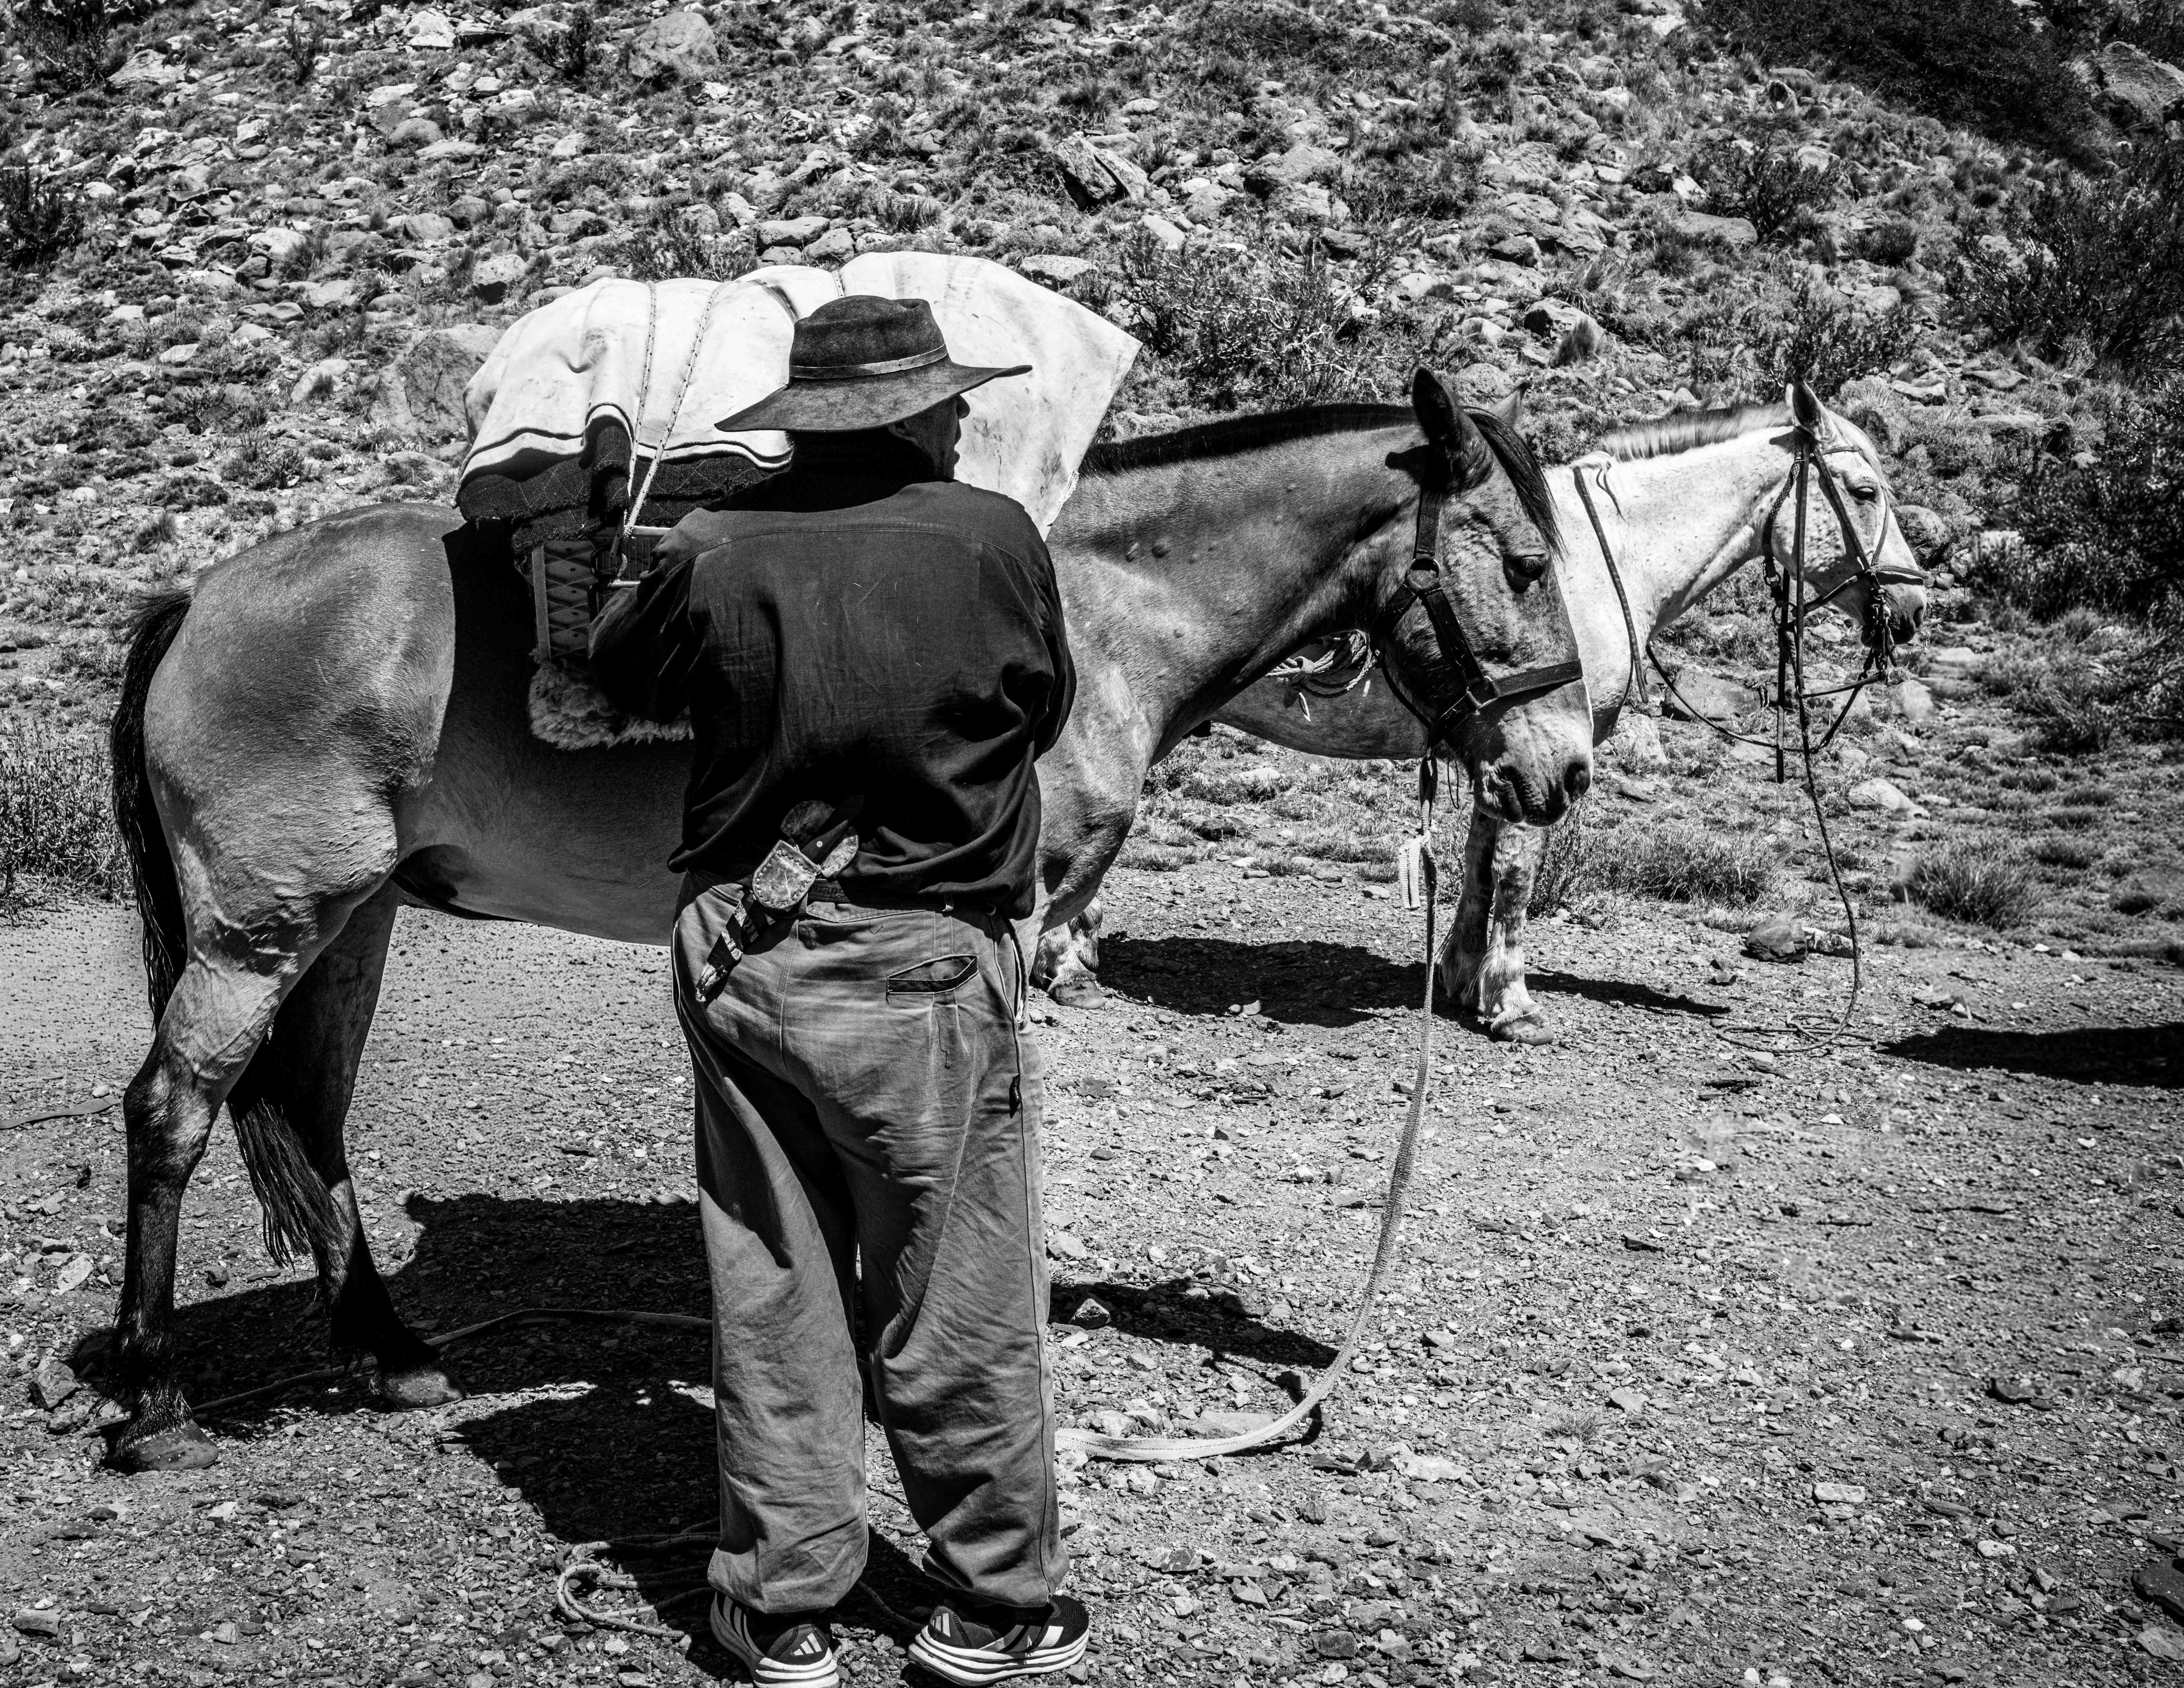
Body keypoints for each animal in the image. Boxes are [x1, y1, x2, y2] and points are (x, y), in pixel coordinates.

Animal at [99, 367, 1595, 1472]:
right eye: (1525, 560)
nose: (1566, 768)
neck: (1098, 612)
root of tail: (204, 595)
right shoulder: (989, 924)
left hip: (350, 919)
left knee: (311, 1109)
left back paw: (387, 1351)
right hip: (259, 930)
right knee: (171, 1108)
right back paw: (149, 1397)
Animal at [1041, 386, 1930, 1040]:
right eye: (1864, 491)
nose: (1913, 605)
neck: (1610, 559)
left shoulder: (1502, 751)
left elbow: (1478, 862)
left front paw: (1461, 976)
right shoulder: (1537, 747)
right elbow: (1515, 871)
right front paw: (1510, 1000)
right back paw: (1068, 960)